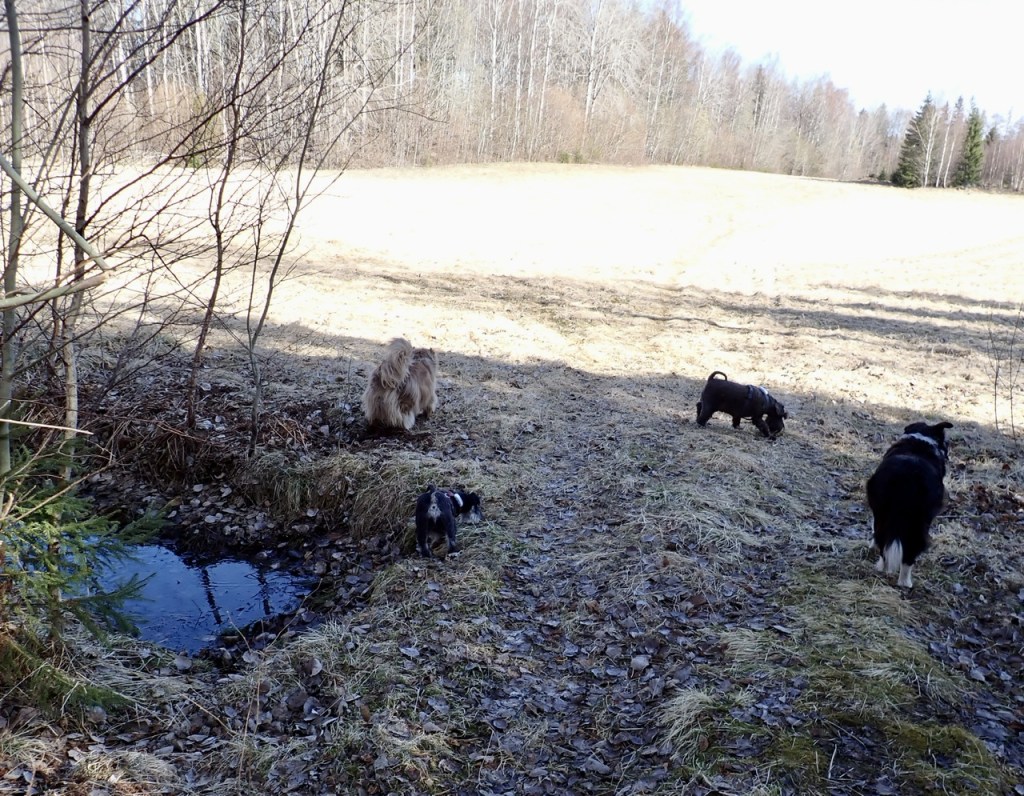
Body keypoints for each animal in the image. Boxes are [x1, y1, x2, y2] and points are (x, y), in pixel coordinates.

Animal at [866, 421, 953, 589]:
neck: (921, 440)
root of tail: (906, 478)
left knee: (884, 541)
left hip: (885, 513)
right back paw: (904, 582)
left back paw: (886, 571)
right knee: (908, 551)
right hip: (917, 521)